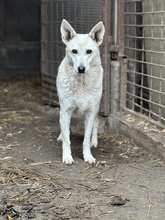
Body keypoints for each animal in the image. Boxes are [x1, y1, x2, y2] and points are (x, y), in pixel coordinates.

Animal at [56, 19, 104, 165]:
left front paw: (88, 156)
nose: (81, 69)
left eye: (89, 51)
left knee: (96, 124)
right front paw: (67, 157)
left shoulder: (90, 112)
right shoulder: (65, 111)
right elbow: (67, 139)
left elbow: (86, 140)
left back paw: (94, 142)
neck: (82, 84)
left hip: (96, 108)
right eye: (74, 51)